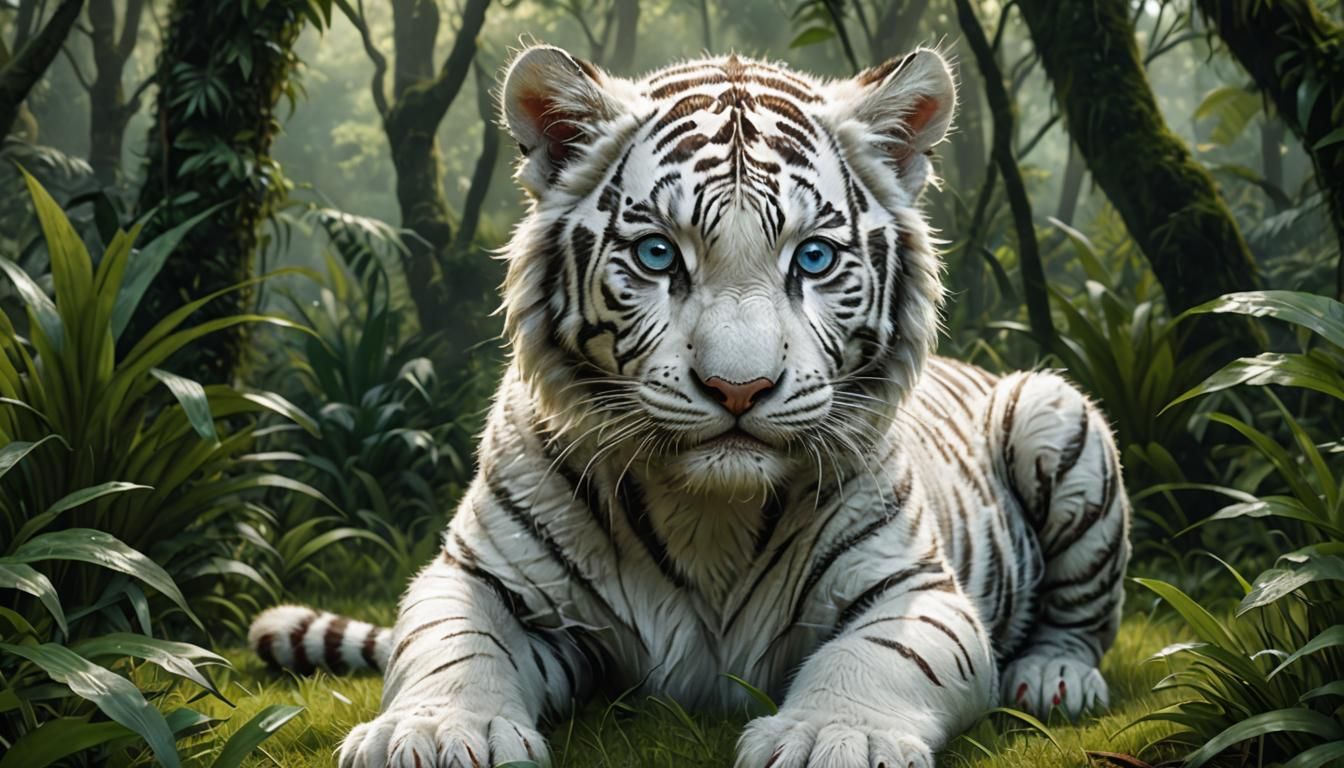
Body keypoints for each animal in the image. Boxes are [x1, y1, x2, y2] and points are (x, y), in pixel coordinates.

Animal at [249, 44, 1131, 768]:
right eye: (656, 254)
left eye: (813, 257)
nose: (738, 388)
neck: (710, 511)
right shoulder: (483, 579)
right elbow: (450, 645)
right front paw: (433, 733)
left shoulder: (914, 589)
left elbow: (874, 659)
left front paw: (833, 736)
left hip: (1054, 407)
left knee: (1084, 615)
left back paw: (1055, 678)